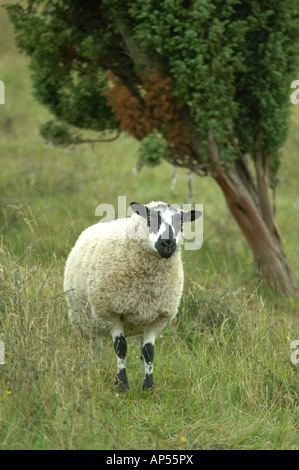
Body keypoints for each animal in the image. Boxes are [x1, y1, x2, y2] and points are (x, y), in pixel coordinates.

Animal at [64, 201, 203, 390]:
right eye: (150, 218)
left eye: (181, 222)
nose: (167, 243)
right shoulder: (110, 312)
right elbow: (121, 347)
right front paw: (122, 385)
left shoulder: (156, 317)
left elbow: (149, 352)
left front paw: (149, 386)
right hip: (84, 319)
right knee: (94, 346)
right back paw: (94, 370)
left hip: (138, 323)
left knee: (140, 351)